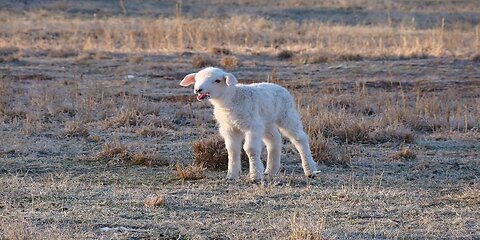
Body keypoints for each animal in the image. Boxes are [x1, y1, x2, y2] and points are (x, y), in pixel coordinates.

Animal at [178, 66, 316, 181]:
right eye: (196, 79)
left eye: (217, 80)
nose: (198, 89)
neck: (231, 99)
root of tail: (280, 87)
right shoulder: (230, 128)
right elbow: (232, 149)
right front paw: (231, 175)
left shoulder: (252, 126)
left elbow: (250, 148)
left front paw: (255, 176)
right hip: (266, 122)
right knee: (274, 139)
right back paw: (271, 170)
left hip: (286, 115)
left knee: (300, 138)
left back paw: (310, 170)